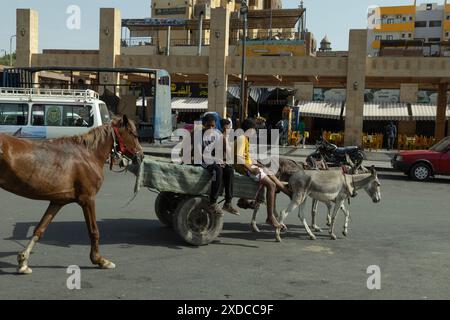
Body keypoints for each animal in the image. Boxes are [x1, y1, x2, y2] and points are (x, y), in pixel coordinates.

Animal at [0, 115, 143, 276]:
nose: (141, 155)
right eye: (133, 134)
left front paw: (23, 261)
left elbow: (40, 229)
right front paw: (99, 260)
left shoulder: (57, 201)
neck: (88, 155)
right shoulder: (88, 199)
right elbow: (94, 231)